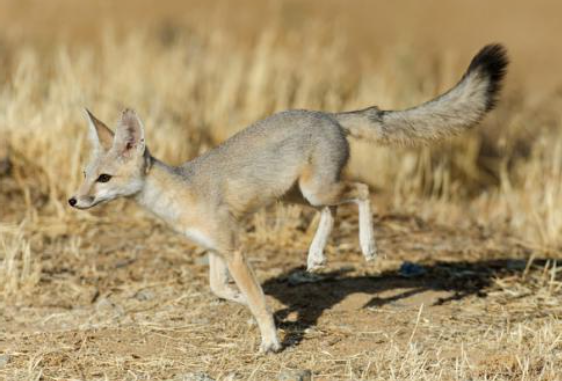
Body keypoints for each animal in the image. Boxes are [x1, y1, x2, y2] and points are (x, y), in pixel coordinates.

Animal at [70, 43, 508, 352]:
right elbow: (220, 288)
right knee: (332, 210)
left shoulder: (233, 248)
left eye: (104, 179)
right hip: (299, 196)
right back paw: (315, 256)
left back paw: (367, 247)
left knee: (362, 191)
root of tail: (327, 114)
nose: (74, 201)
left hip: (315, 188)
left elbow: (256, 300)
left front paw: (271, 340)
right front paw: (241, 299)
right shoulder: (215, 249)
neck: (178, 192)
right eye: (85, 175)